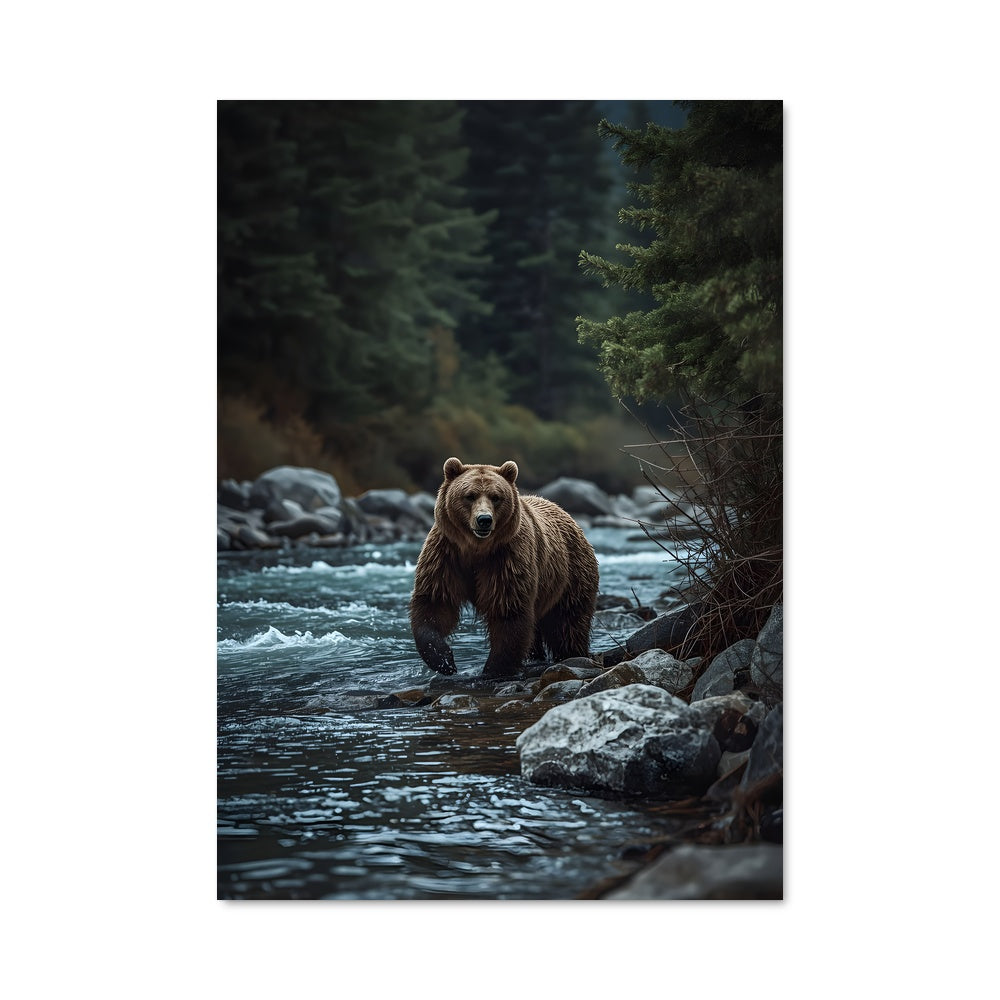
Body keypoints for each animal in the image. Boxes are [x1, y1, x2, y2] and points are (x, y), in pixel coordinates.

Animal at [409, 457, 599, 679]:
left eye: (496, 497)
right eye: (470, 495)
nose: (484, 520)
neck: (476, 549)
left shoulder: (506, 559)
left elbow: (509, 611)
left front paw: (493, 670)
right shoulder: (447, 556)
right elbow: (435, 603)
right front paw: (444, 660)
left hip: (571, 575)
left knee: (567, 624)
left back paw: (573, 654)